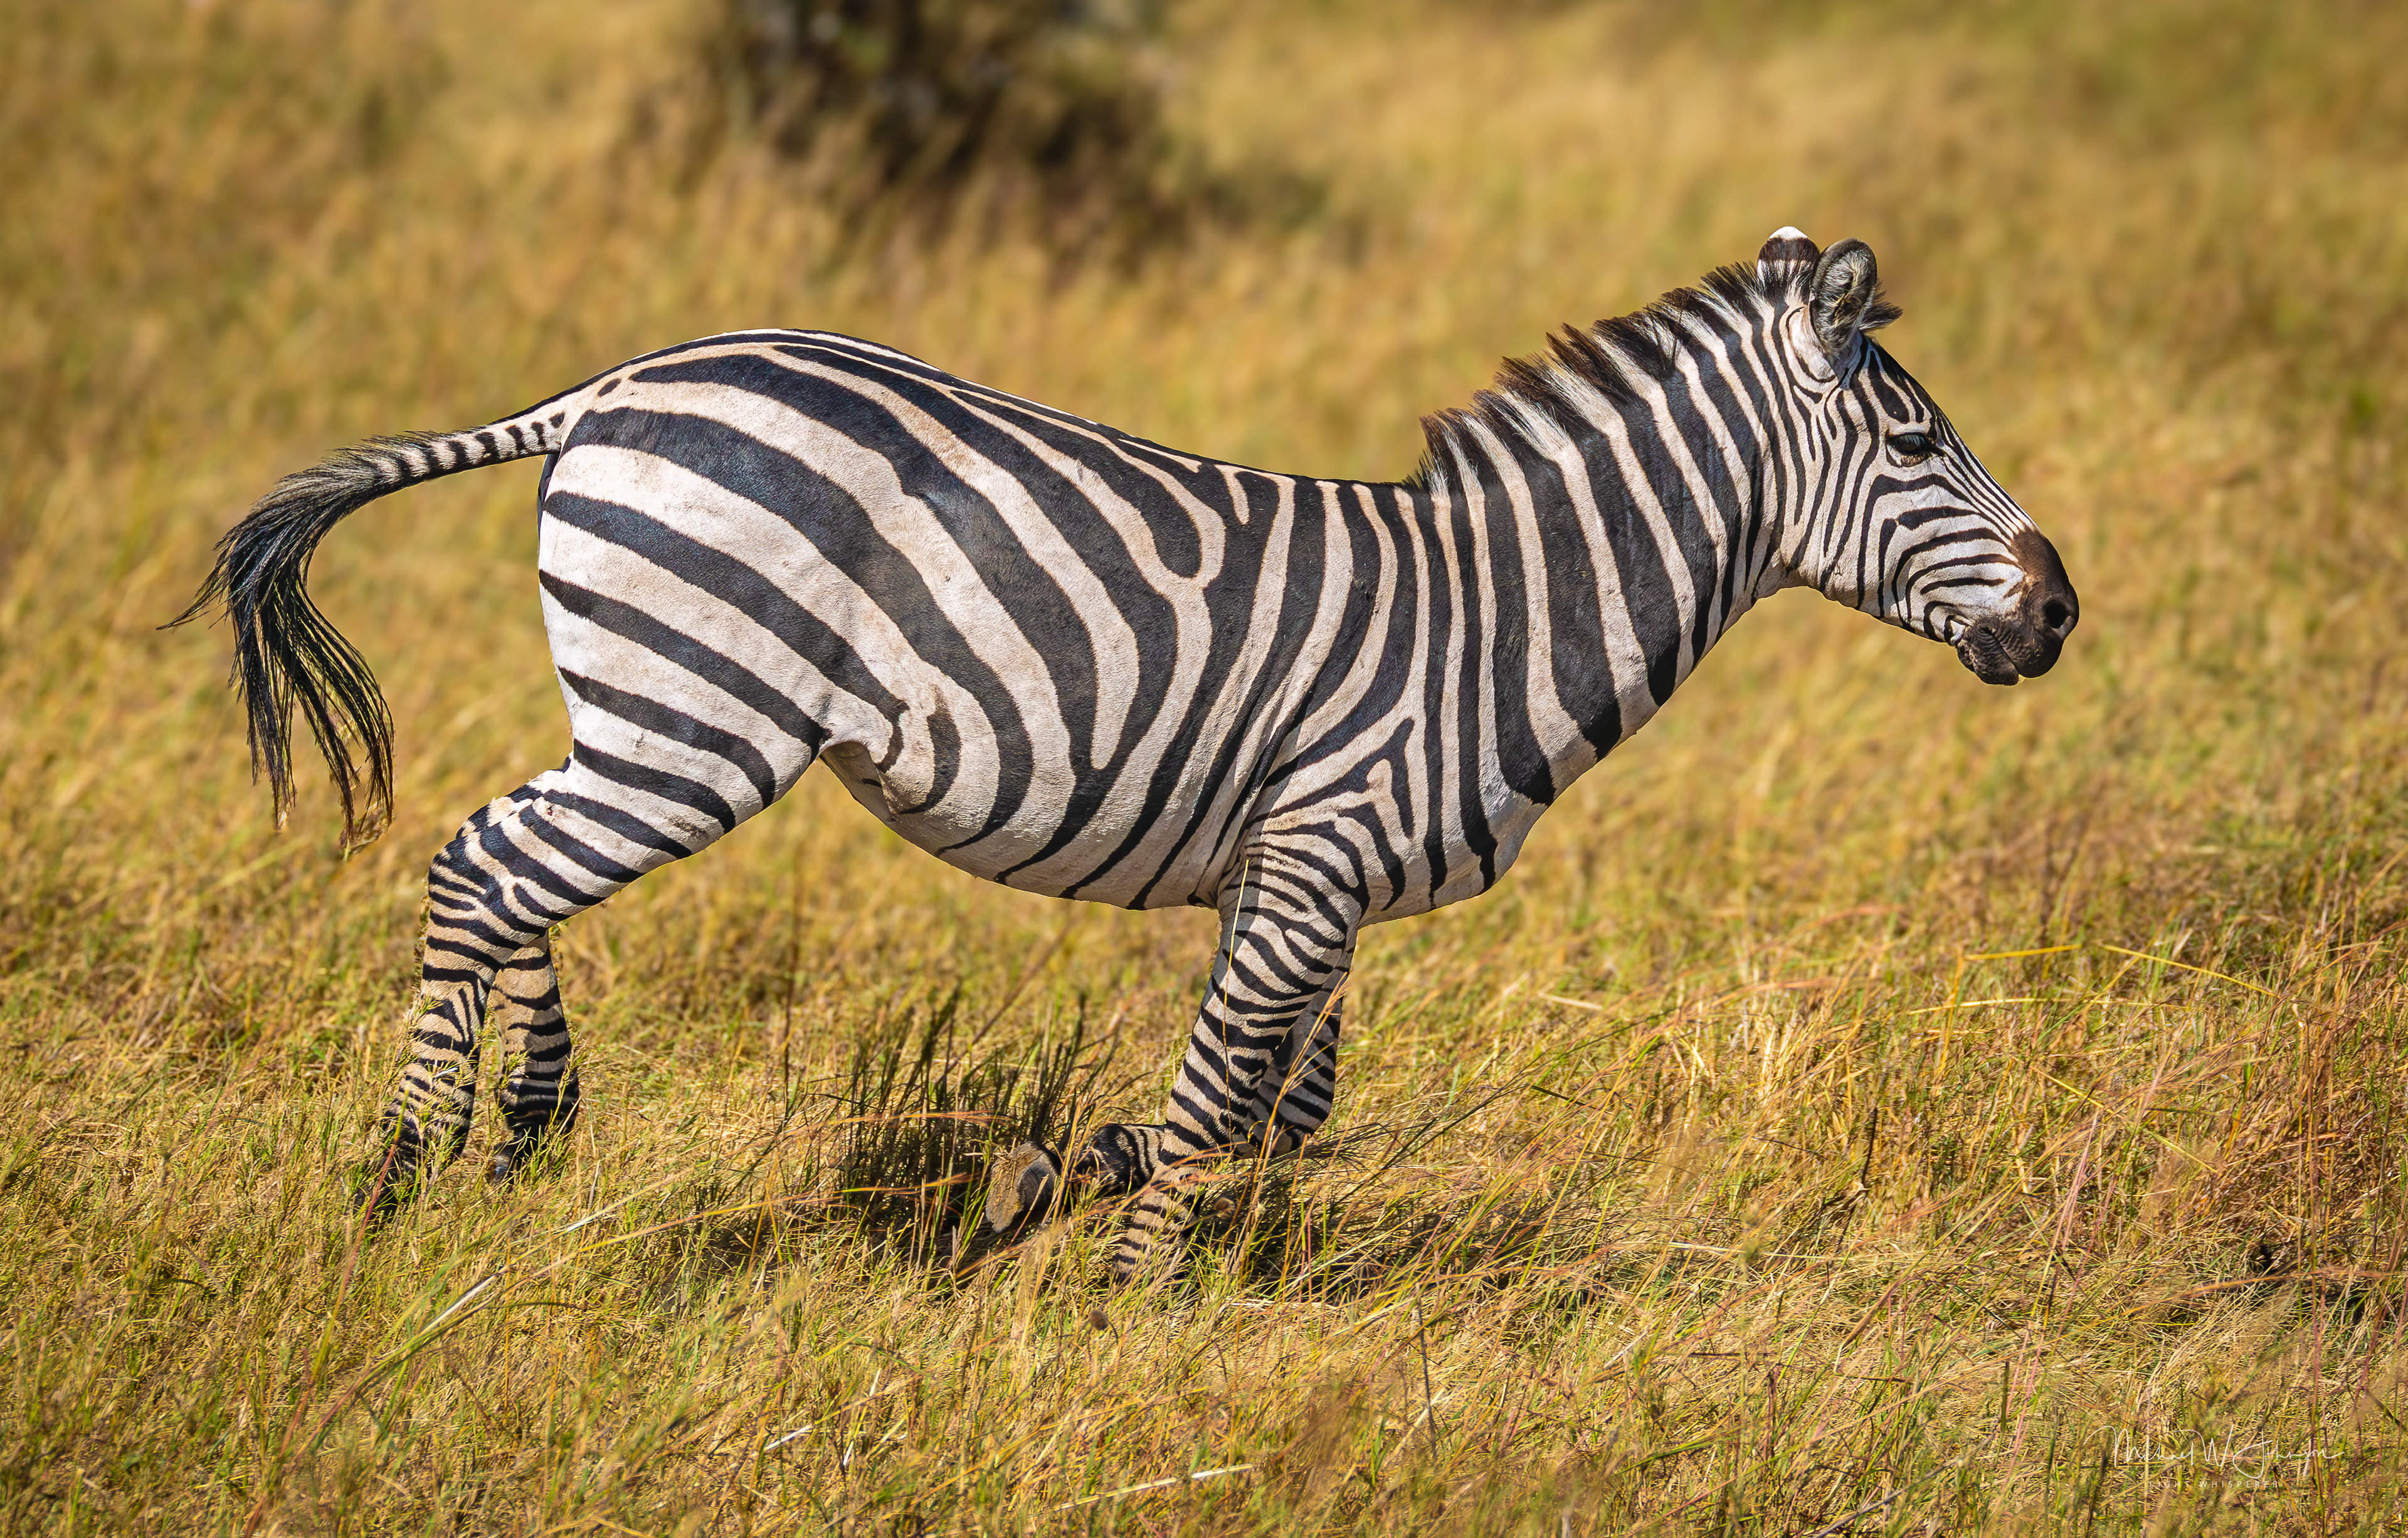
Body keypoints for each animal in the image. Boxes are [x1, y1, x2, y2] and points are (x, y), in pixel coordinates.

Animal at [180, 228, 2076, 1282]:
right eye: (1917, 439)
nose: (2059, 609)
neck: (1502, 612)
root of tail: (613, 387)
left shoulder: (1312, 882)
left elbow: (1285, 1111)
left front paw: (1053, 1196)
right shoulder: (1317, 858)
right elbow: (1228, 1099)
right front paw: (1132, 1292)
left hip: (647, 707)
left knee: (507, 865)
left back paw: (523, 1126)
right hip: (703, 717)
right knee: (486, 865)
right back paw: (407, 1167)